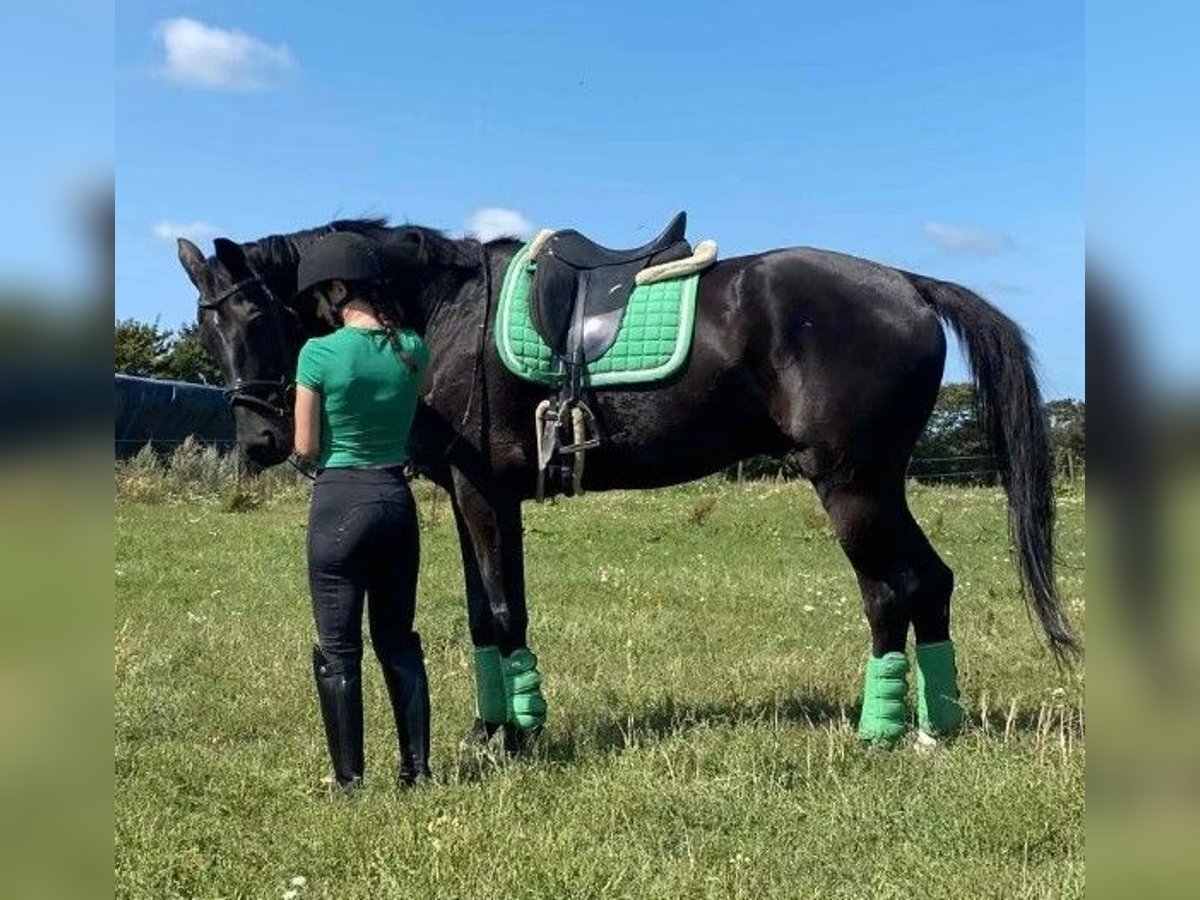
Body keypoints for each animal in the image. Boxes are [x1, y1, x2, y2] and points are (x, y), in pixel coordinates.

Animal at [175, 215, 1077, 750]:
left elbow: (500, 610)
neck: (447, 311)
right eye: (204, 325)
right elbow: (484, 612)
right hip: (882, 484)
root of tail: (907, 284)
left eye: (253, 313)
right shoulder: (473, 496)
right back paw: (934, 727)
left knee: (892, 590)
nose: (260, 440)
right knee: (932, 582)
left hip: (854, 484)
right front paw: (494, 725)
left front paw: (518, 735)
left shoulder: (485, 493)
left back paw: (883, 730)